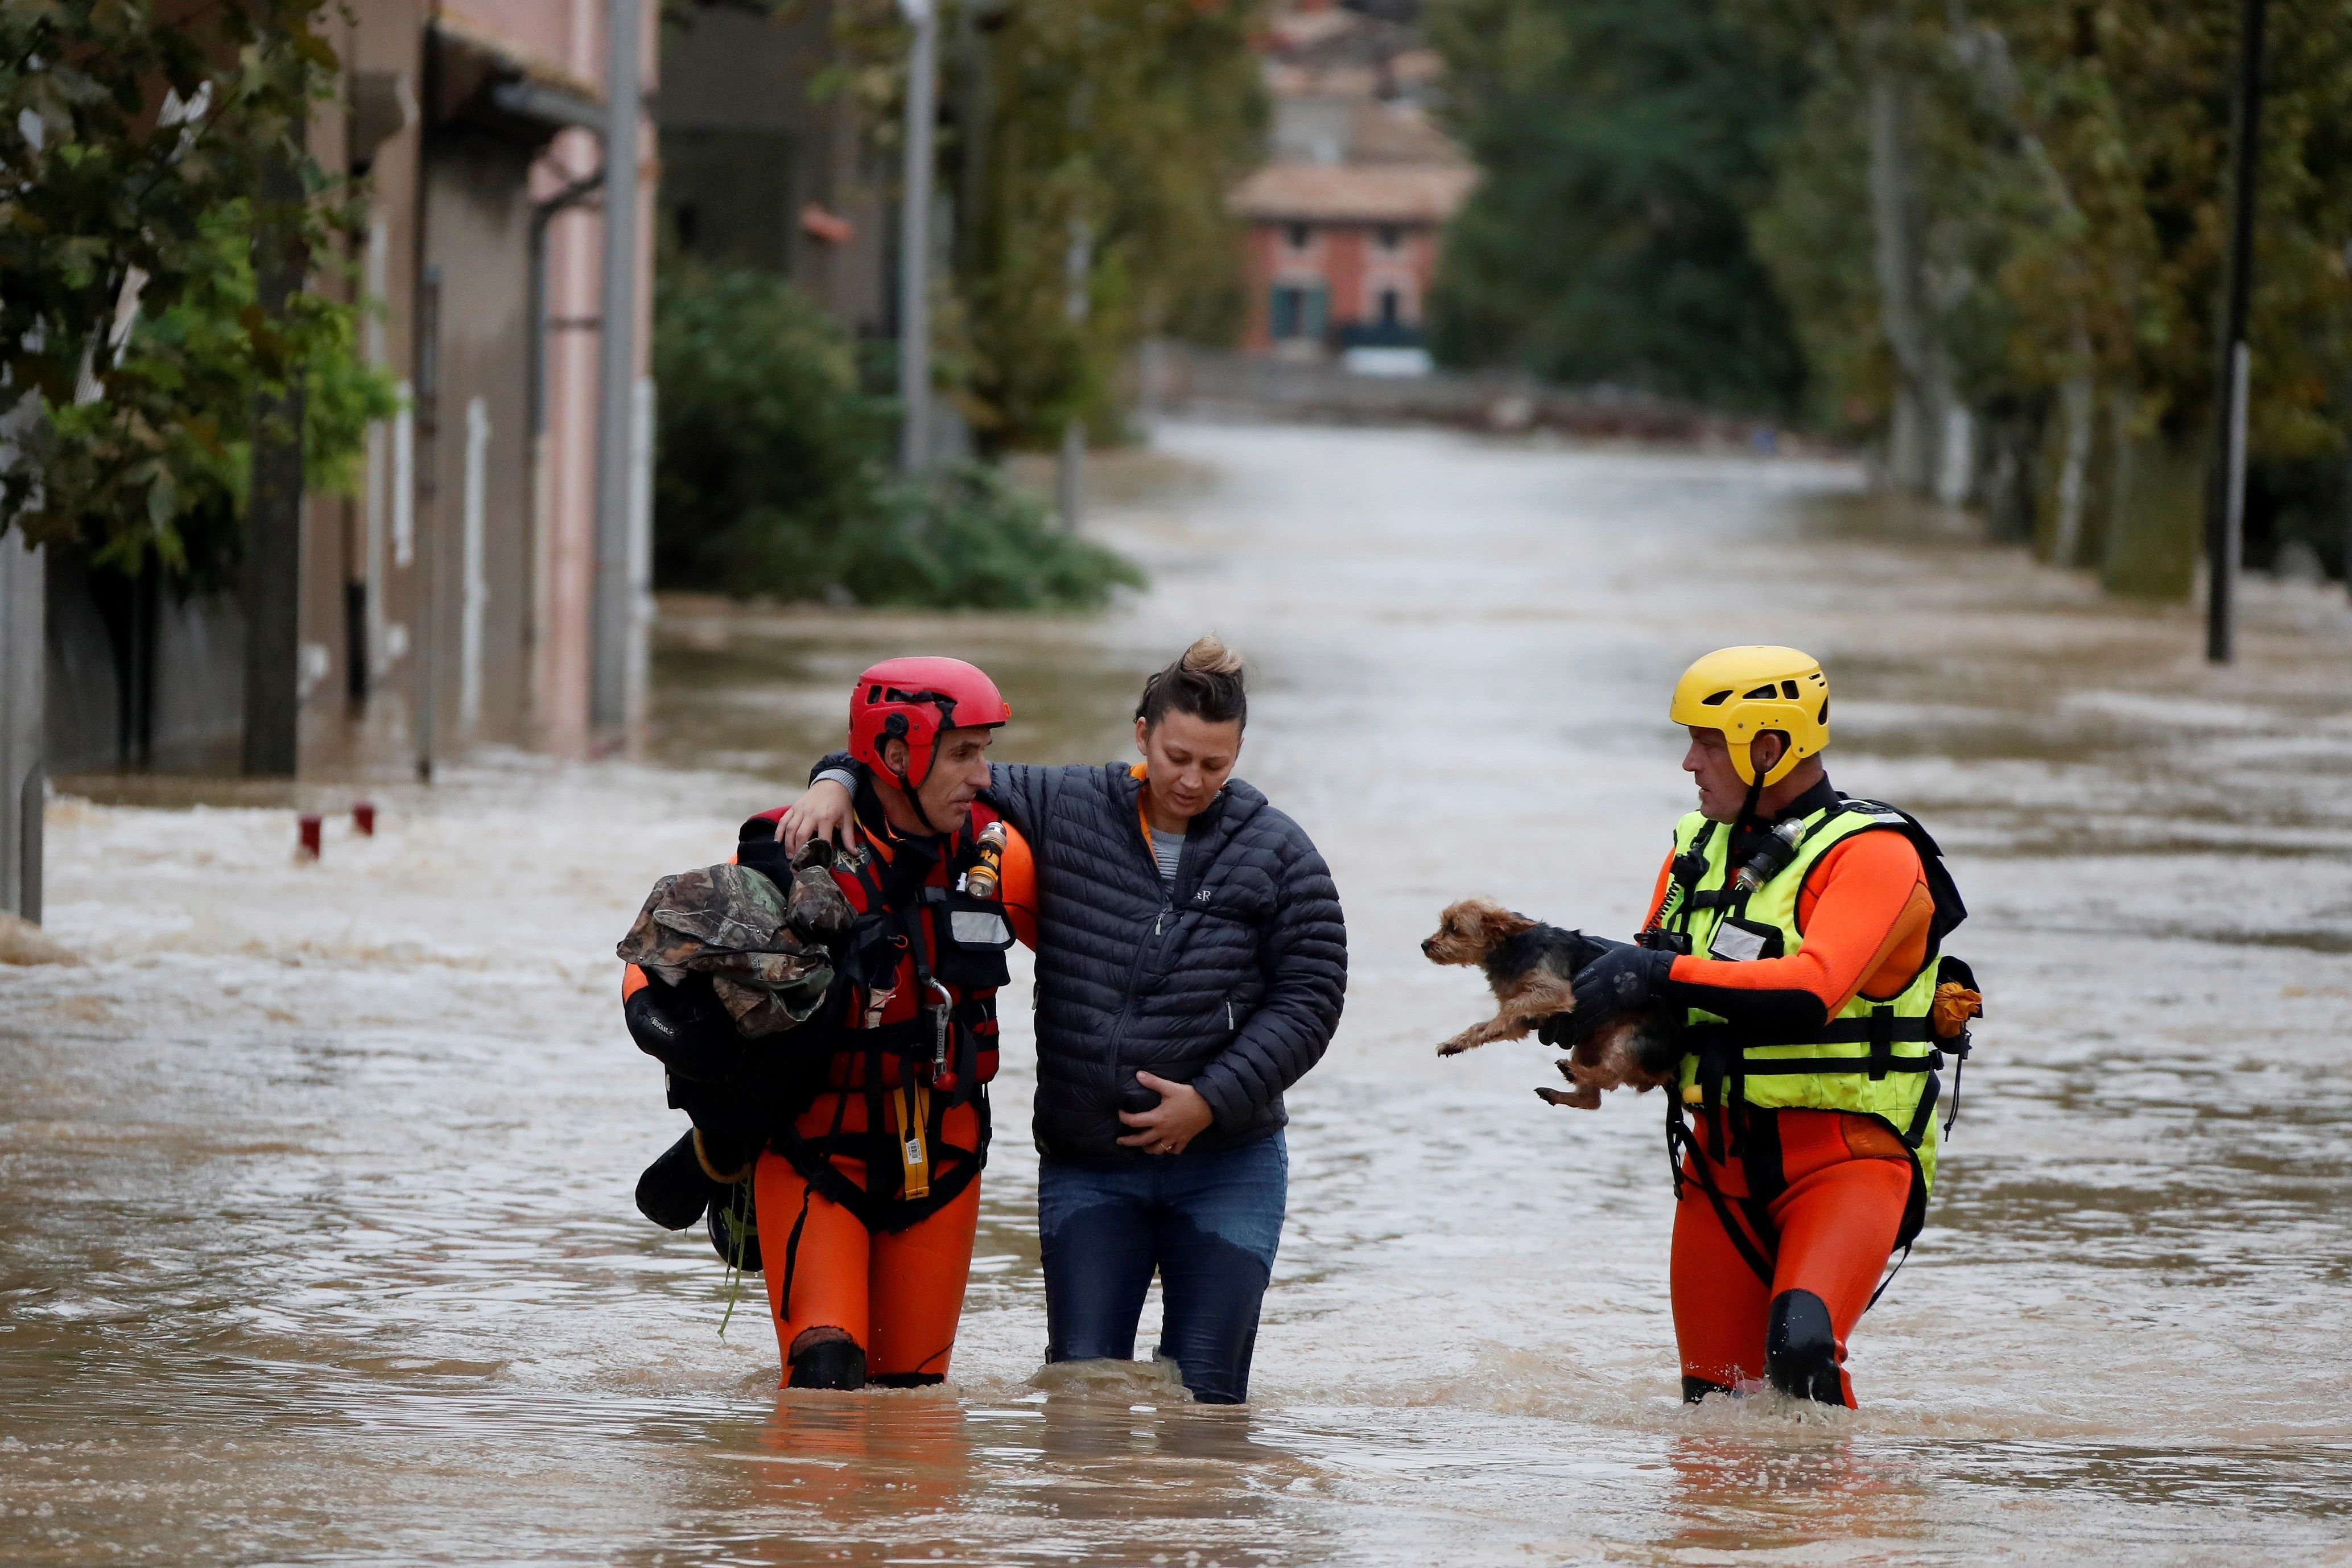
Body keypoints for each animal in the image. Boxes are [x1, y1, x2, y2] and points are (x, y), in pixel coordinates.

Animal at [1411, 902, 1693, 1109]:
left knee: (1610, 1076)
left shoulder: (1553, 993)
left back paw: (1573, 1072)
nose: (1424, 945)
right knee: (1592, 1100)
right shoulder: (1523, 1022)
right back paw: (1559, 1091)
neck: (1511, 948)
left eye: (1454, 929)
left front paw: (1494, 1025)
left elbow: (1511, 1007)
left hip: (1626, 1039)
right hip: (1588, 1044)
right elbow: (1483, 1026)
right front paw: (1456, 1043)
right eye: (1444, 925)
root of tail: (1669, 1069)